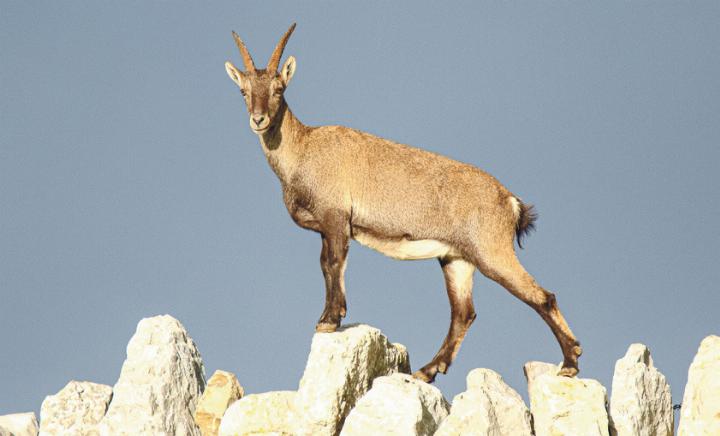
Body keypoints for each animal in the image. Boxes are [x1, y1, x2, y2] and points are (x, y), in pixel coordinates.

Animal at [226, 23, 584, 382]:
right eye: (243, 91)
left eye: (278, 88)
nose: (258, 119)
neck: (304, 149)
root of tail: (510, 201)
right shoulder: (329, 227)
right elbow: (326, 265)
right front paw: (332, 316)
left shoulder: (335, 217)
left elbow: (332, 263)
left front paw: (329, 319)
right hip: (457, 258)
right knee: (464, 313)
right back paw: (428, 370)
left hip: (491, 251)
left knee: (542, 296)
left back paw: (570, 362)